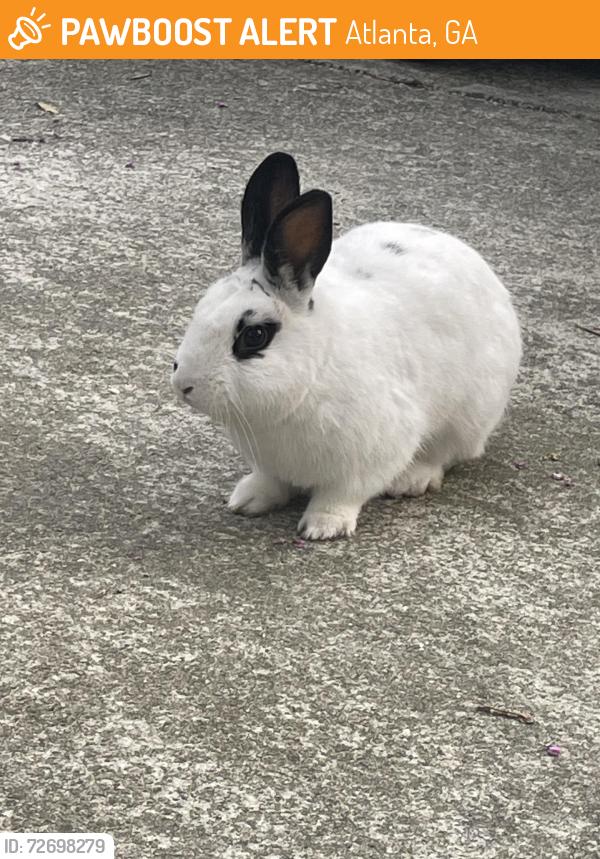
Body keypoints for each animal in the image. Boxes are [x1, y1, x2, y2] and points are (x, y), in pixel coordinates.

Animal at [172, 152, 521, 540]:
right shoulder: (269, 463)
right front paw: (247, 501)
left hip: (468, 415)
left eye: (254, 335)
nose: (184, 385)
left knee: (446, 452)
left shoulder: (371, 455)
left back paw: (411, 479)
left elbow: (343, 494)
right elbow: (270, 483)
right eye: (202, 306)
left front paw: (323, 527)